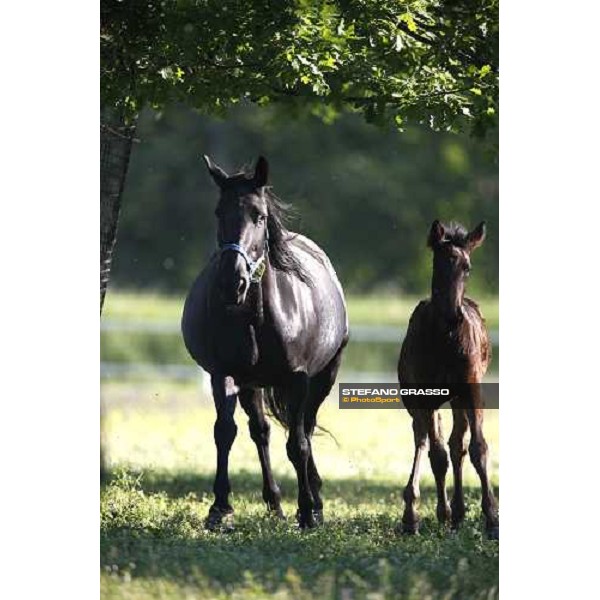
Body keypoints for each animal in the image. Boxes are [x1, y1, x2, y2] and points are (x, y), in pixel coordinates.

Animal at [398, 220, 496, 540]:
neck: (444, 339)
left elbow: (477, 448)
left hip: (456, 398)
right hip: (416, 401)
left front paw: (492, 519)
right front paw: (436, 514)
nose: (454, 315)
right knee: (425, 440)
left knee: (456, 444)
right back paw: (426, 513)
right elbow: (437, 455)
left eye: (467, 267)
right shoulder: (425, 396)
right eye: (438, 263)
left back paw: (458, 512)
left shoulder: (471, 389)